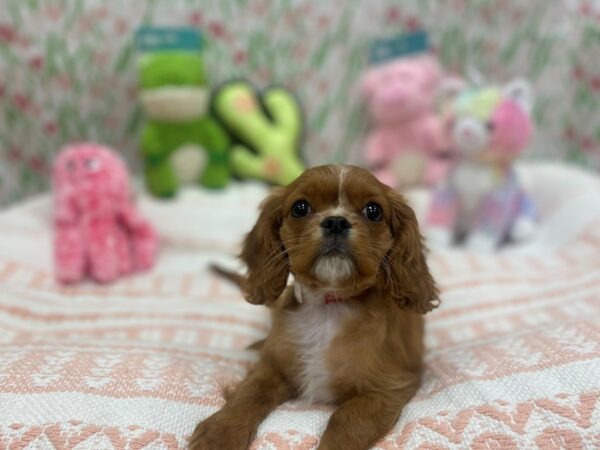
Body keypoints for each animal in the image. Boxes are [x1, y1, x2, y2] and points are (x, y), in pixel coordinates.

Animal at [190, 165, 438, 450]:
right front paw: (219, 432)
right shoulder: (272, 366)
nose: (336, 221)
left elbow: (346, 420)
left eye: (373, 211)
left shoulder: (388, 387)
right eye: (300, 208)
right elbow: (250, 393)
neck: (328, 304)